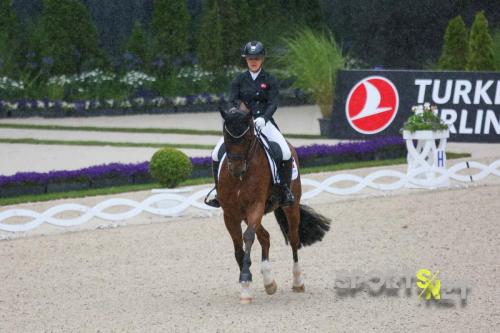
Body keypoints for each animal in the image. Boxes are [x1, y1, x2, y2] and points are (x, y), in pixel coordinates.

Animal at [217, 106, 330, 304]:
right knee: (265, 237)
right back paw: (269, 281)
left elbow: (247, 238)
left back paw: (298, 282)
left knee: (293, 239)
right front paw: (246, 284)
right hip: (246, 214)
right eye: (226, 136)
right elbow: (238, 249)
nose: (236, 170)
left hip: (290, 206)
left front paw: (245, 281)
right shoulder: (230, 213)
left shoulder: (255, 205)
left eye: (248, 137)